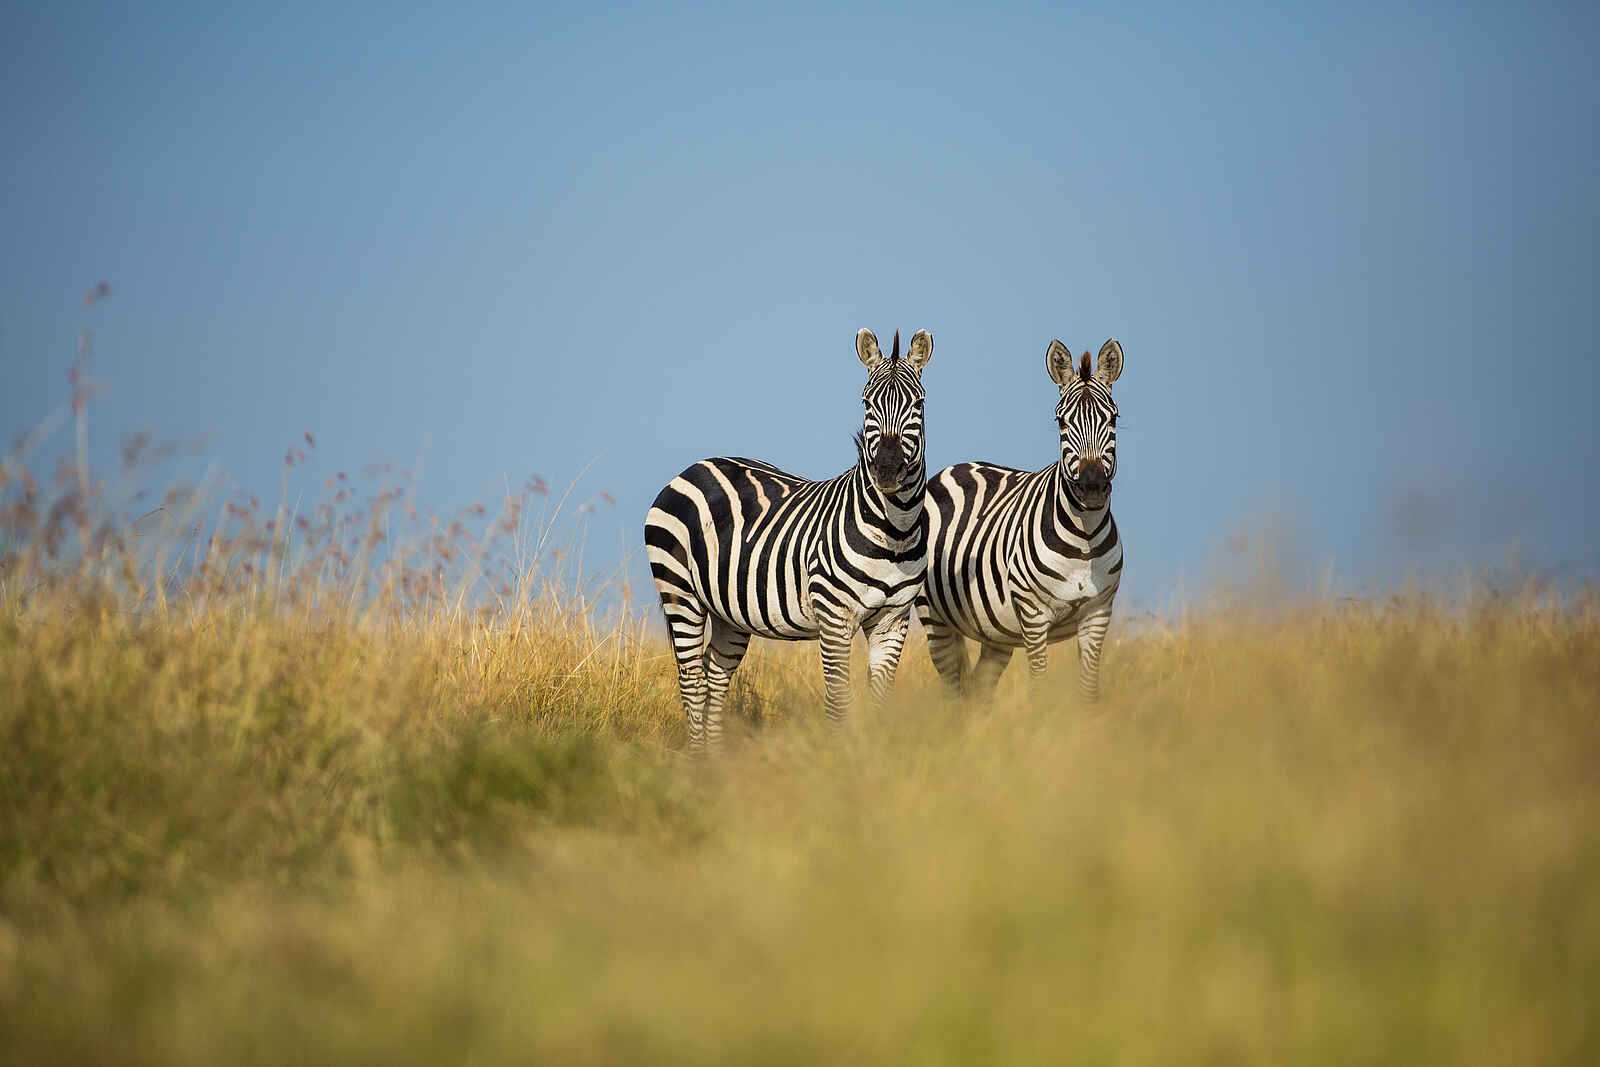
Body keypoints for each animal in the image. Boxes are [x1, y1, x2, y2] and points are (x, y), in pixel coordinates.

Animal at [645, 328, 934, 754]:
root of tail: (694, 467)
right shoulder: (834, 615)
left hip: (729, 611)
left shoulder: (892, 621)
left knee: (714, 676)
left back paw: (714, 760)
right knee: (692, 681)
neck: (893, 530)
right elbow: (839, 701)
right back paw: (698, 759)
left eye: (918, 403)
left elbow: (881, 701)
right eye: (866, 403)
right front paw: (840, 762)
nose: (887, 471)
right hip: (680, 593)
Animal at [916, 337, 1124, 702]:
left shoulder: (1098, 613)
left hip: (995, 631)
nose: (1092, 486)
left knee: (979, 690)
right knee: (954, 690)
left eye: (1113, 419)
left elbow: (1088, 690)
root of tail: (956, 467)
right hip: (936, 620)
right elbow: (1039, 685)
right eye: (1061, 422)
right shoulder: (1033, 614)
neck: (1084, 539)